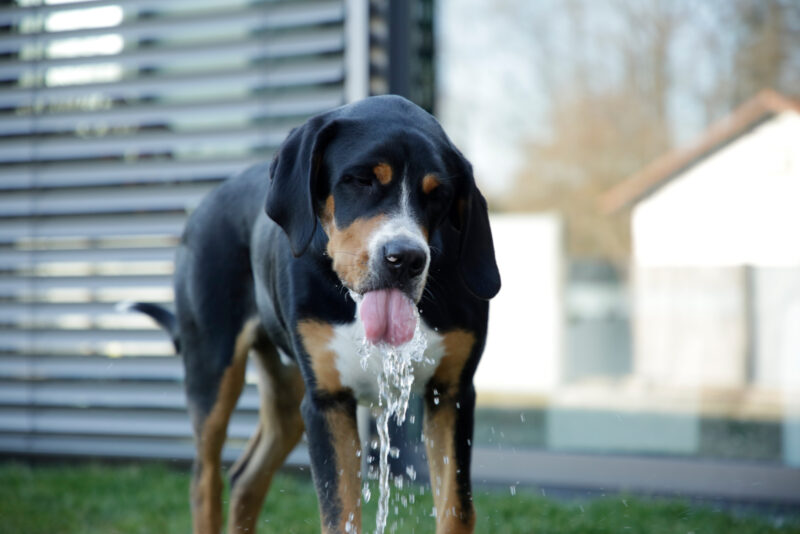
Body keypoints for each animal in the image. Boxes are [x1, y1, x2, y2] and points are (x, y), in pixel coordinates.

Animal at [133, 96, 500, 534]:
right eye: (360, 180)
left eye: (438, 193)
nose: (406, 258)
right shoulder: (327, 402)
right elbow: (340, 514)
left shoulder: (452, 394)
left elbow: (456, 508)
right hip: (213, 371)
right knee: (205, 481)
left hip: (288, 396)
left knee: (245, 478)